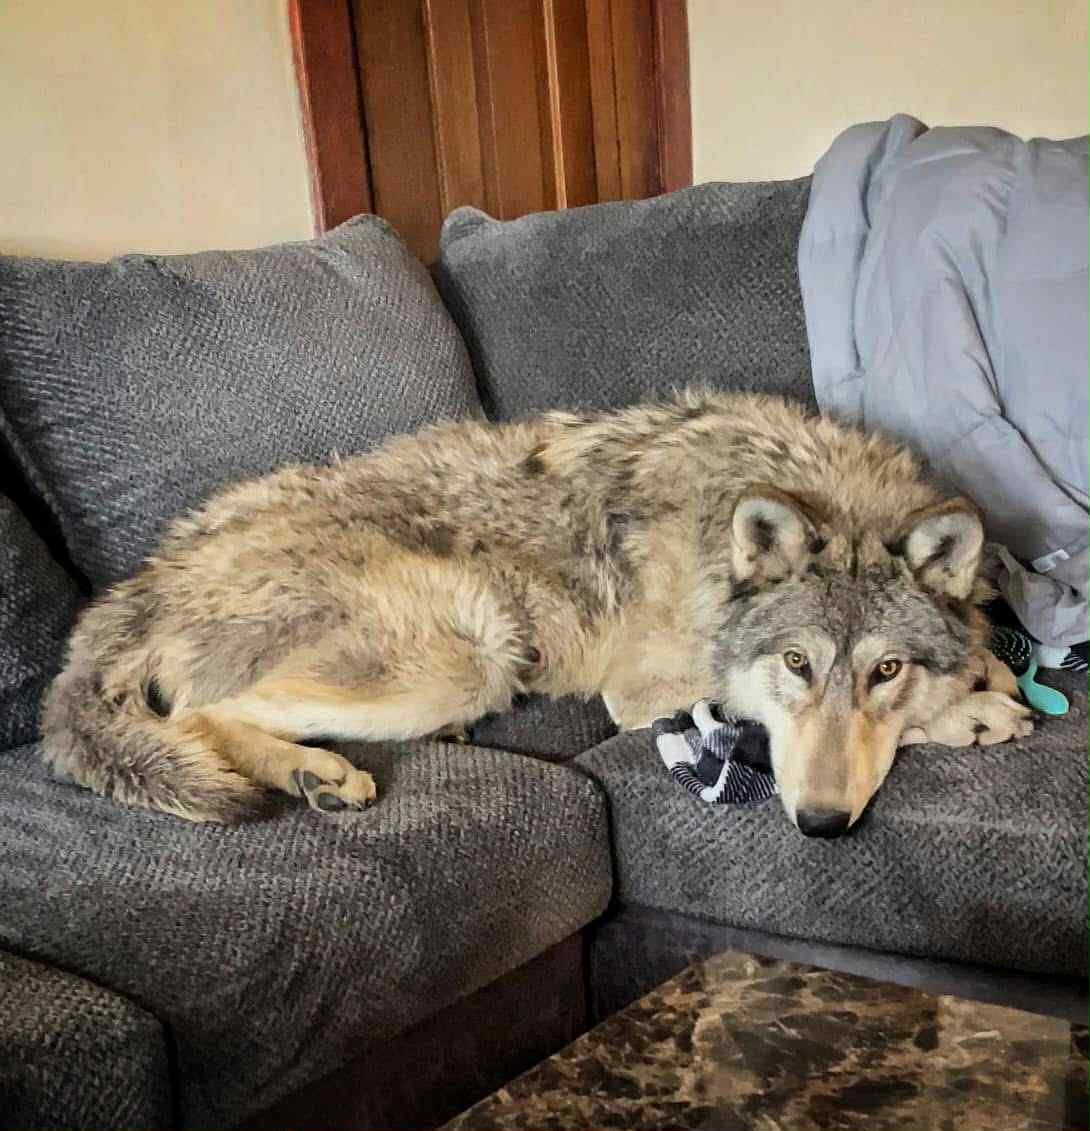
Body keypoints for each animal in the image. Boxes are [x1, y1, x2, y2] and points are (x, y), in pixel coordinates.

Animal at [42, 390, 1032, 836]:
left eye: (885, 669)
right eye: (795, 665)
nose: (822, 824)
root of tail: (136, 585)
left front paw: (987, 675)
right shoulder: (642, 688)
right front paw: (975, 710)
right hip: (468, 647)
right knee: (201, 714)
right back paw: (316, 773)